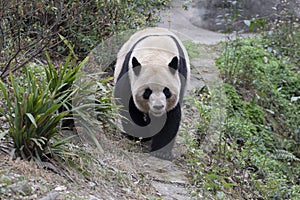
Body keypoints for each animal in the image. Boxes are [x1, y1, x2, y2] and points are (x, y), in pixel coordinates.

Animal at [112, 27, 190, 160]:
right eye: (147, 92)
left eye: (166, 91)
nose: (158, 107)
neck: (155, 54)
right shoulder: (128, 72)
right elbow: (126, 102)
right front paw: (139, 135)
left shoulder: (179, 74)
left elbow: (171, 115)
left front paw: (162, 152)